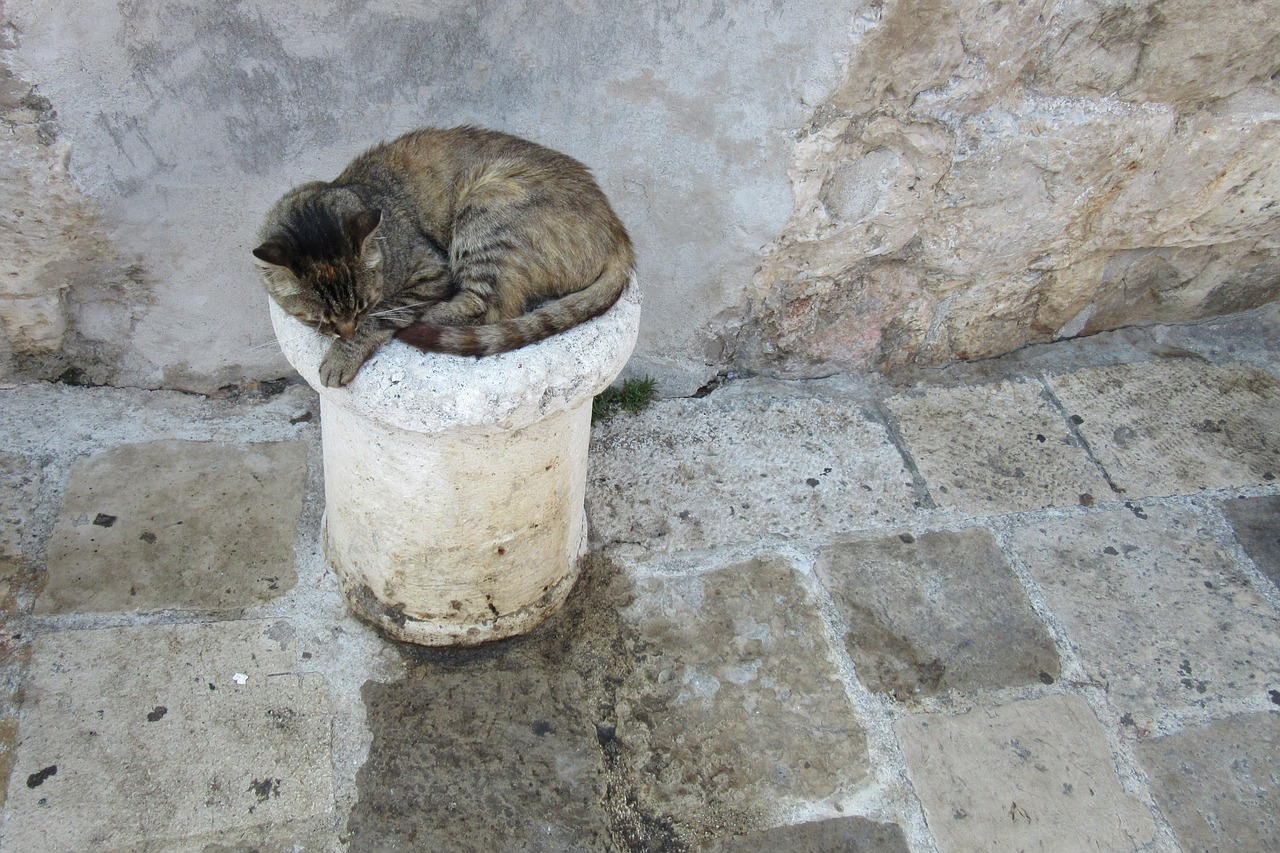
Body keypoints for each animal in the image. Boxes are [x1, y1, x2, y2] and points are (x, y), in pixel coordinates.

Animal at [250, 125, 634, 384]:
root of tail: (618, 229)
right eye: (322, 319)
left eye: (362, 306)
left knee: (492, 309)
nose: (345, 333)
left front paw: (345, 353)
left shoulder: (432, 271)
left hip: (486, 207)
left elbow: (386, 313)